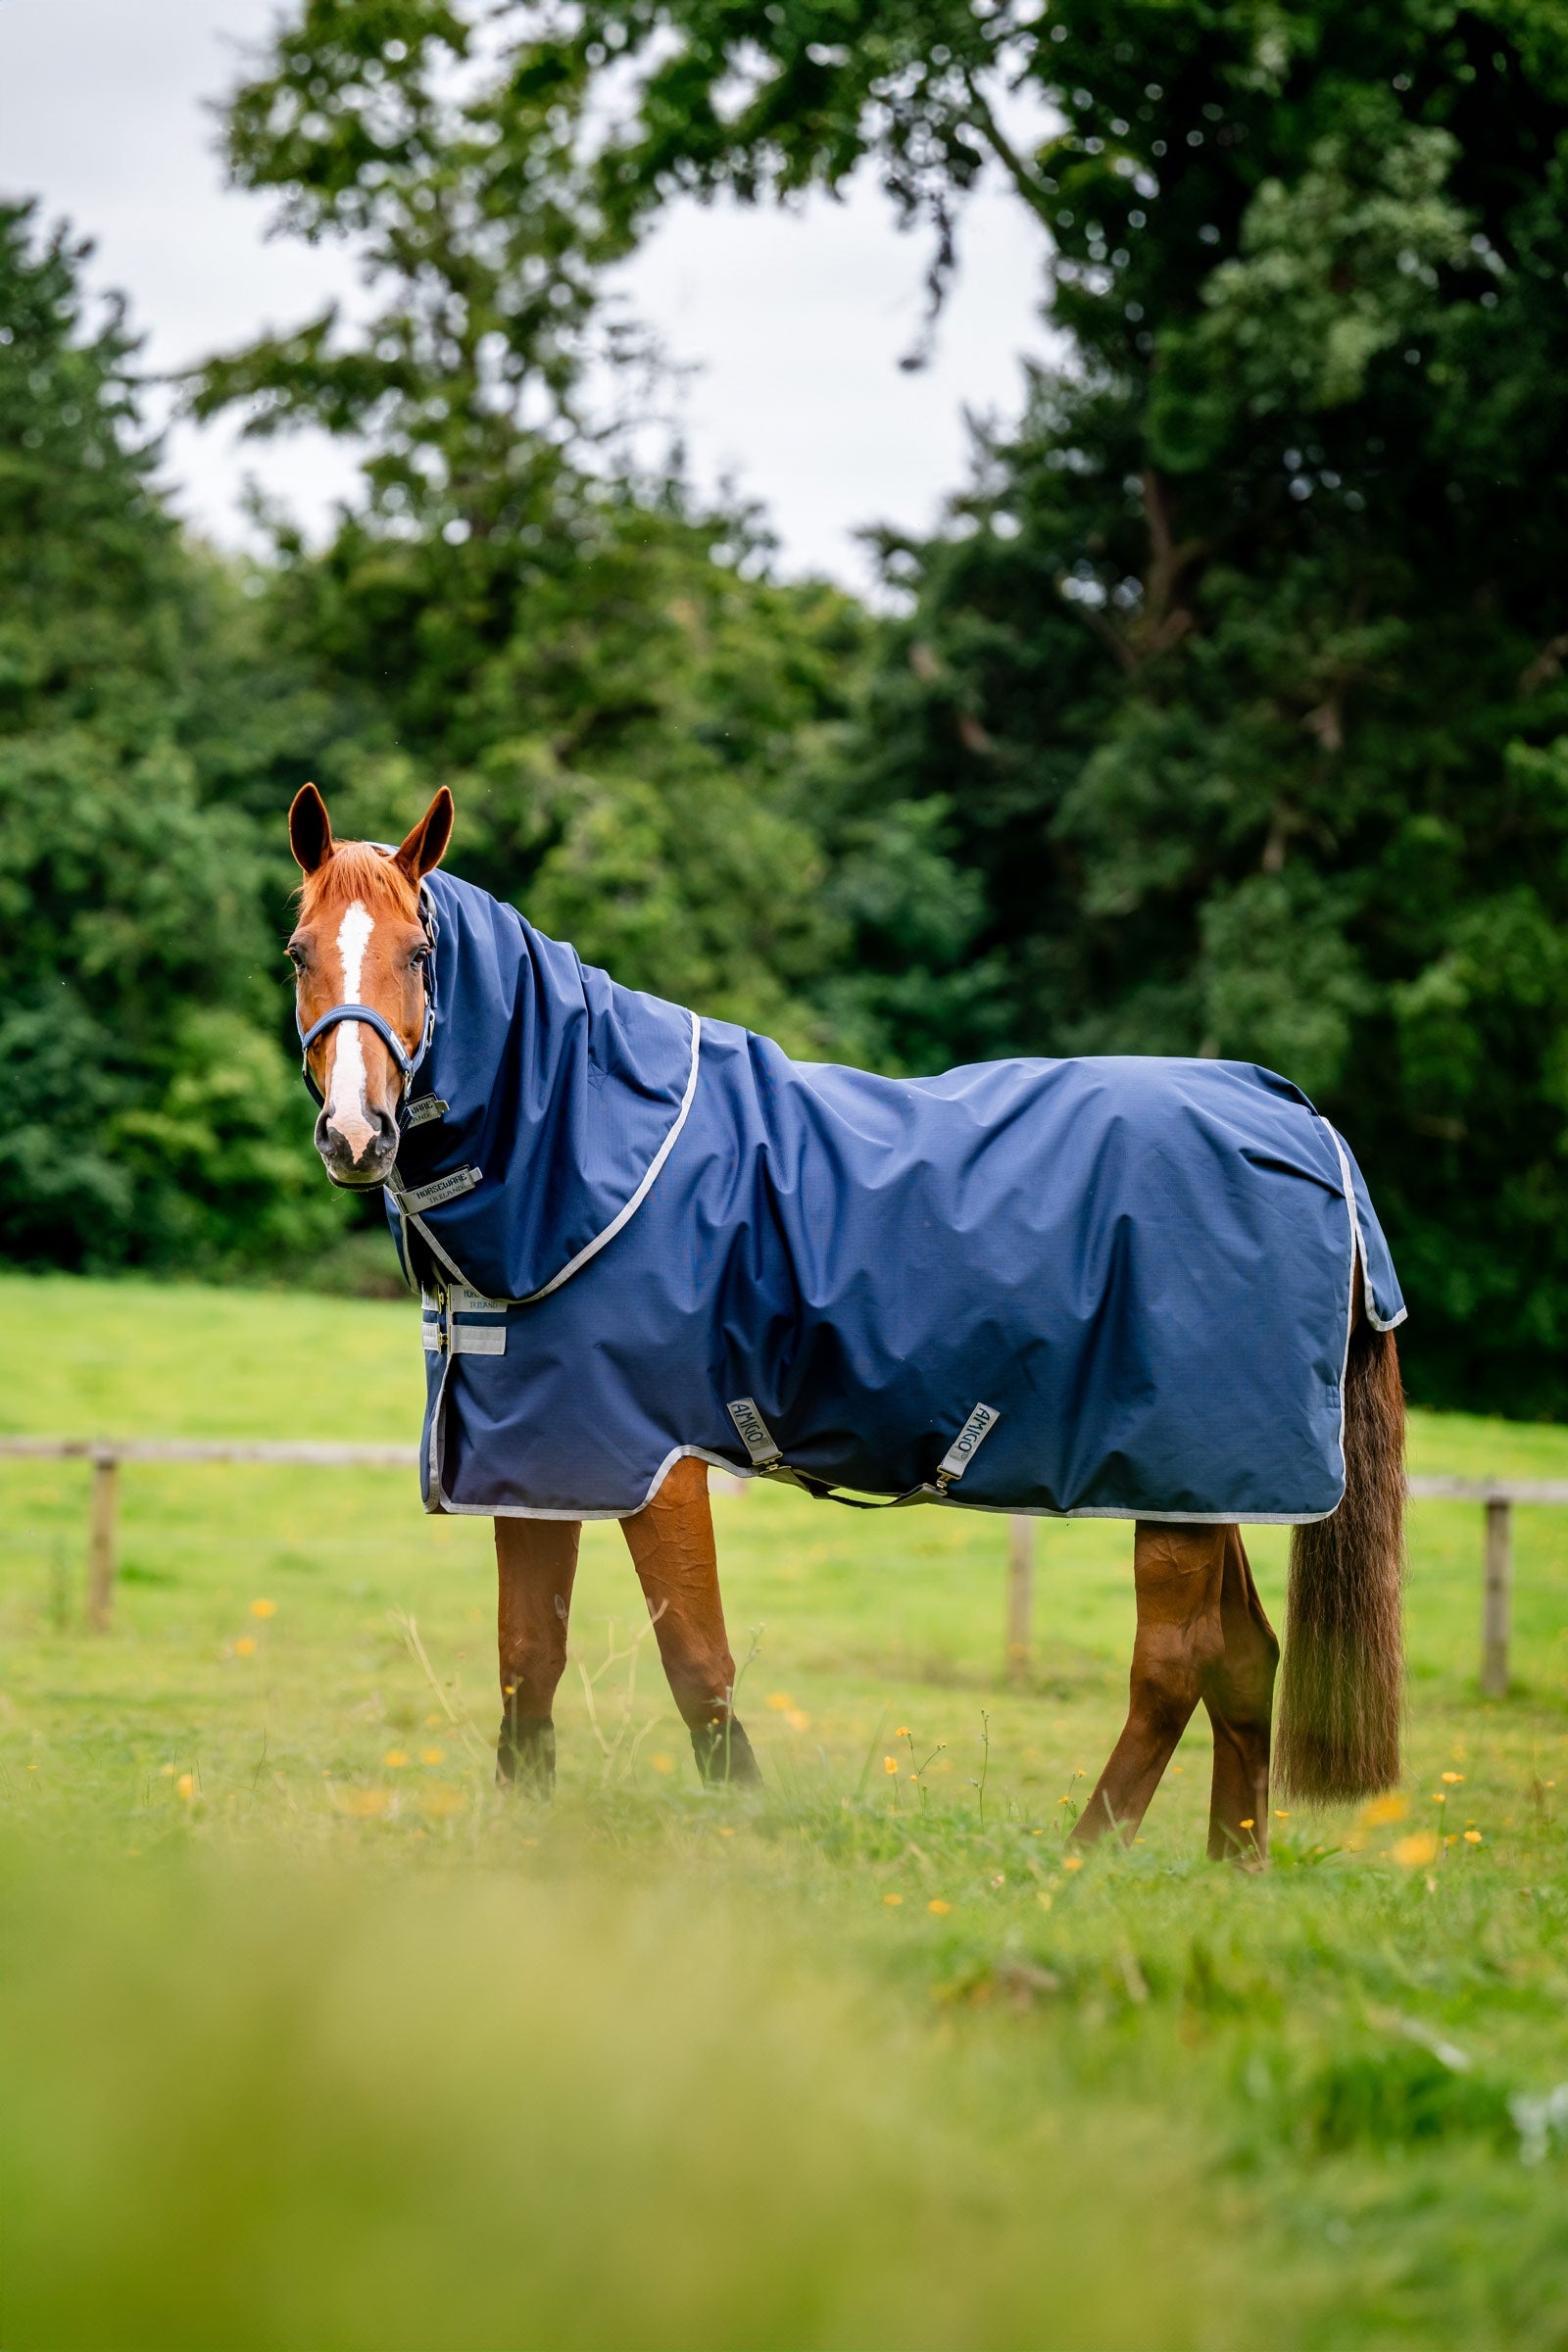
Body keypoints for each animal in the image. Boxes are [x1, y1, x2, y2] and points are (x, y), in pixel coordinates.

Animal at [286, 781, 1406, 1859]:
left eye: (421, 952)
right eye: (299, 951)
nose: (356, 1133)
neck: (589, 1150)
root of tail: (1302, 1122)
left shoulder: (656, 1463)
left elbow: (697, 1665)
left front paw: (746, 1828)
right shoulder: (536, 1459)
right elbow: (529, 1660)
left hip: (1177, 1485)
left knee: (1172, 1666)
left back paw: (1083, 1859)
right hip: (1209, 1491)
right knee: (1244, 1660)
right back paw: (1233, 1868)